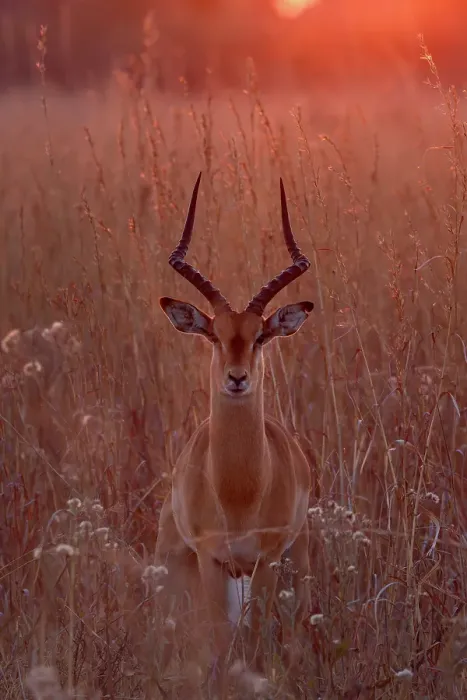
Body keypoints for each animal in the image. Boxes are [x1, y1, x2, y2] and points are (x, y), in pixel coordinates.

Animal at [155, 173, 314, 688]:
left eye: (260, 334)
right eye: (214, 333)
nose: (237, 378)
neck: (240, 490)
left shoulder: (264, 560)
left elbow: (259, 638)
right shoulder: (212, 559)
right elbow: (218, 643)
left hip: (281, 562)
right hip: (180, 562)